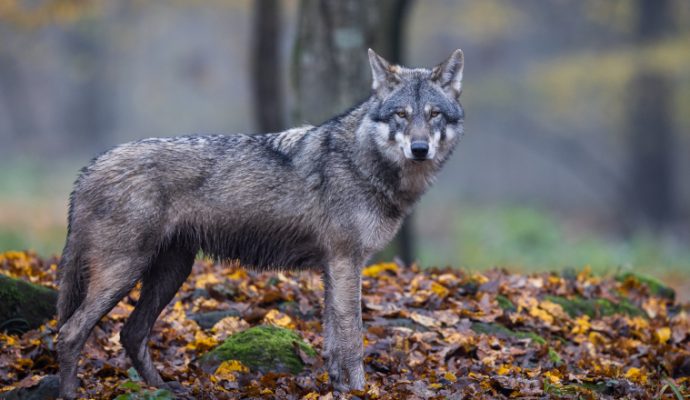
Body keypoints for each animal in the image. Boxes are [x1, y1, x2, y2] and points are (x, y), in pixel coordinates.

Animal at [56, 48, 464, 397]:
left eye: (434, 115)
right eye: (401, 115)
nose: (419, 149)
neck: (363, 162)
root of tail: (87, 169)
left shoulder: (334, 268)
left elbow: (333, 340)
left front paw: (339, 388)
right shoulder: (346, 263)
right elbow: (353, 337)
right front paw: (360, 391)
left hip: (170, 272)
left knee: (131, 332)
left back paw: (166, 389)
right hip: (125, 272)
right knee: (70, 332)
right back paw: (71, 392)